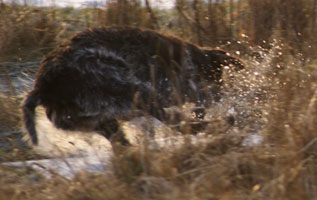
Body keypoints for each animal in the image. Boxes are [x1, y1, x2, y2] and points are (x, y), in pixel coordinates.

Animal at [22, 26, 243, 145]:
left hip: (103, 122)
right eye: (218, 80)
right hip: (137, 92)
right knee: (179, 123)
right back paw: (224, 122)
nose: (221, 97)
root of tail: (43, 87)